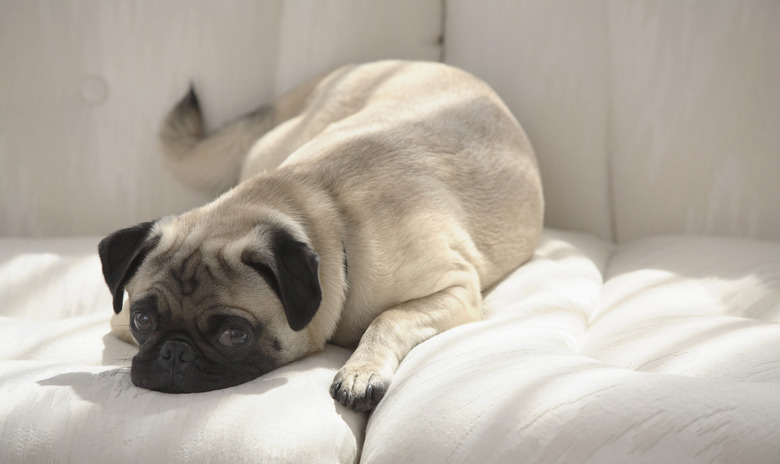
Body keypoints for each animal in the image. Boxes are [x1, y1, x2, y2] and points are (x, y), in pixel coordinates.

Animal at [99, 59, 544, 412]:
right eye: (142, 320)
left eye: (234, 335)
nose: (174, 351)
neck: (326, 207)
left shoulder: (456, 289)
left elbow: (389, 318)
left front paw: (362, 370)